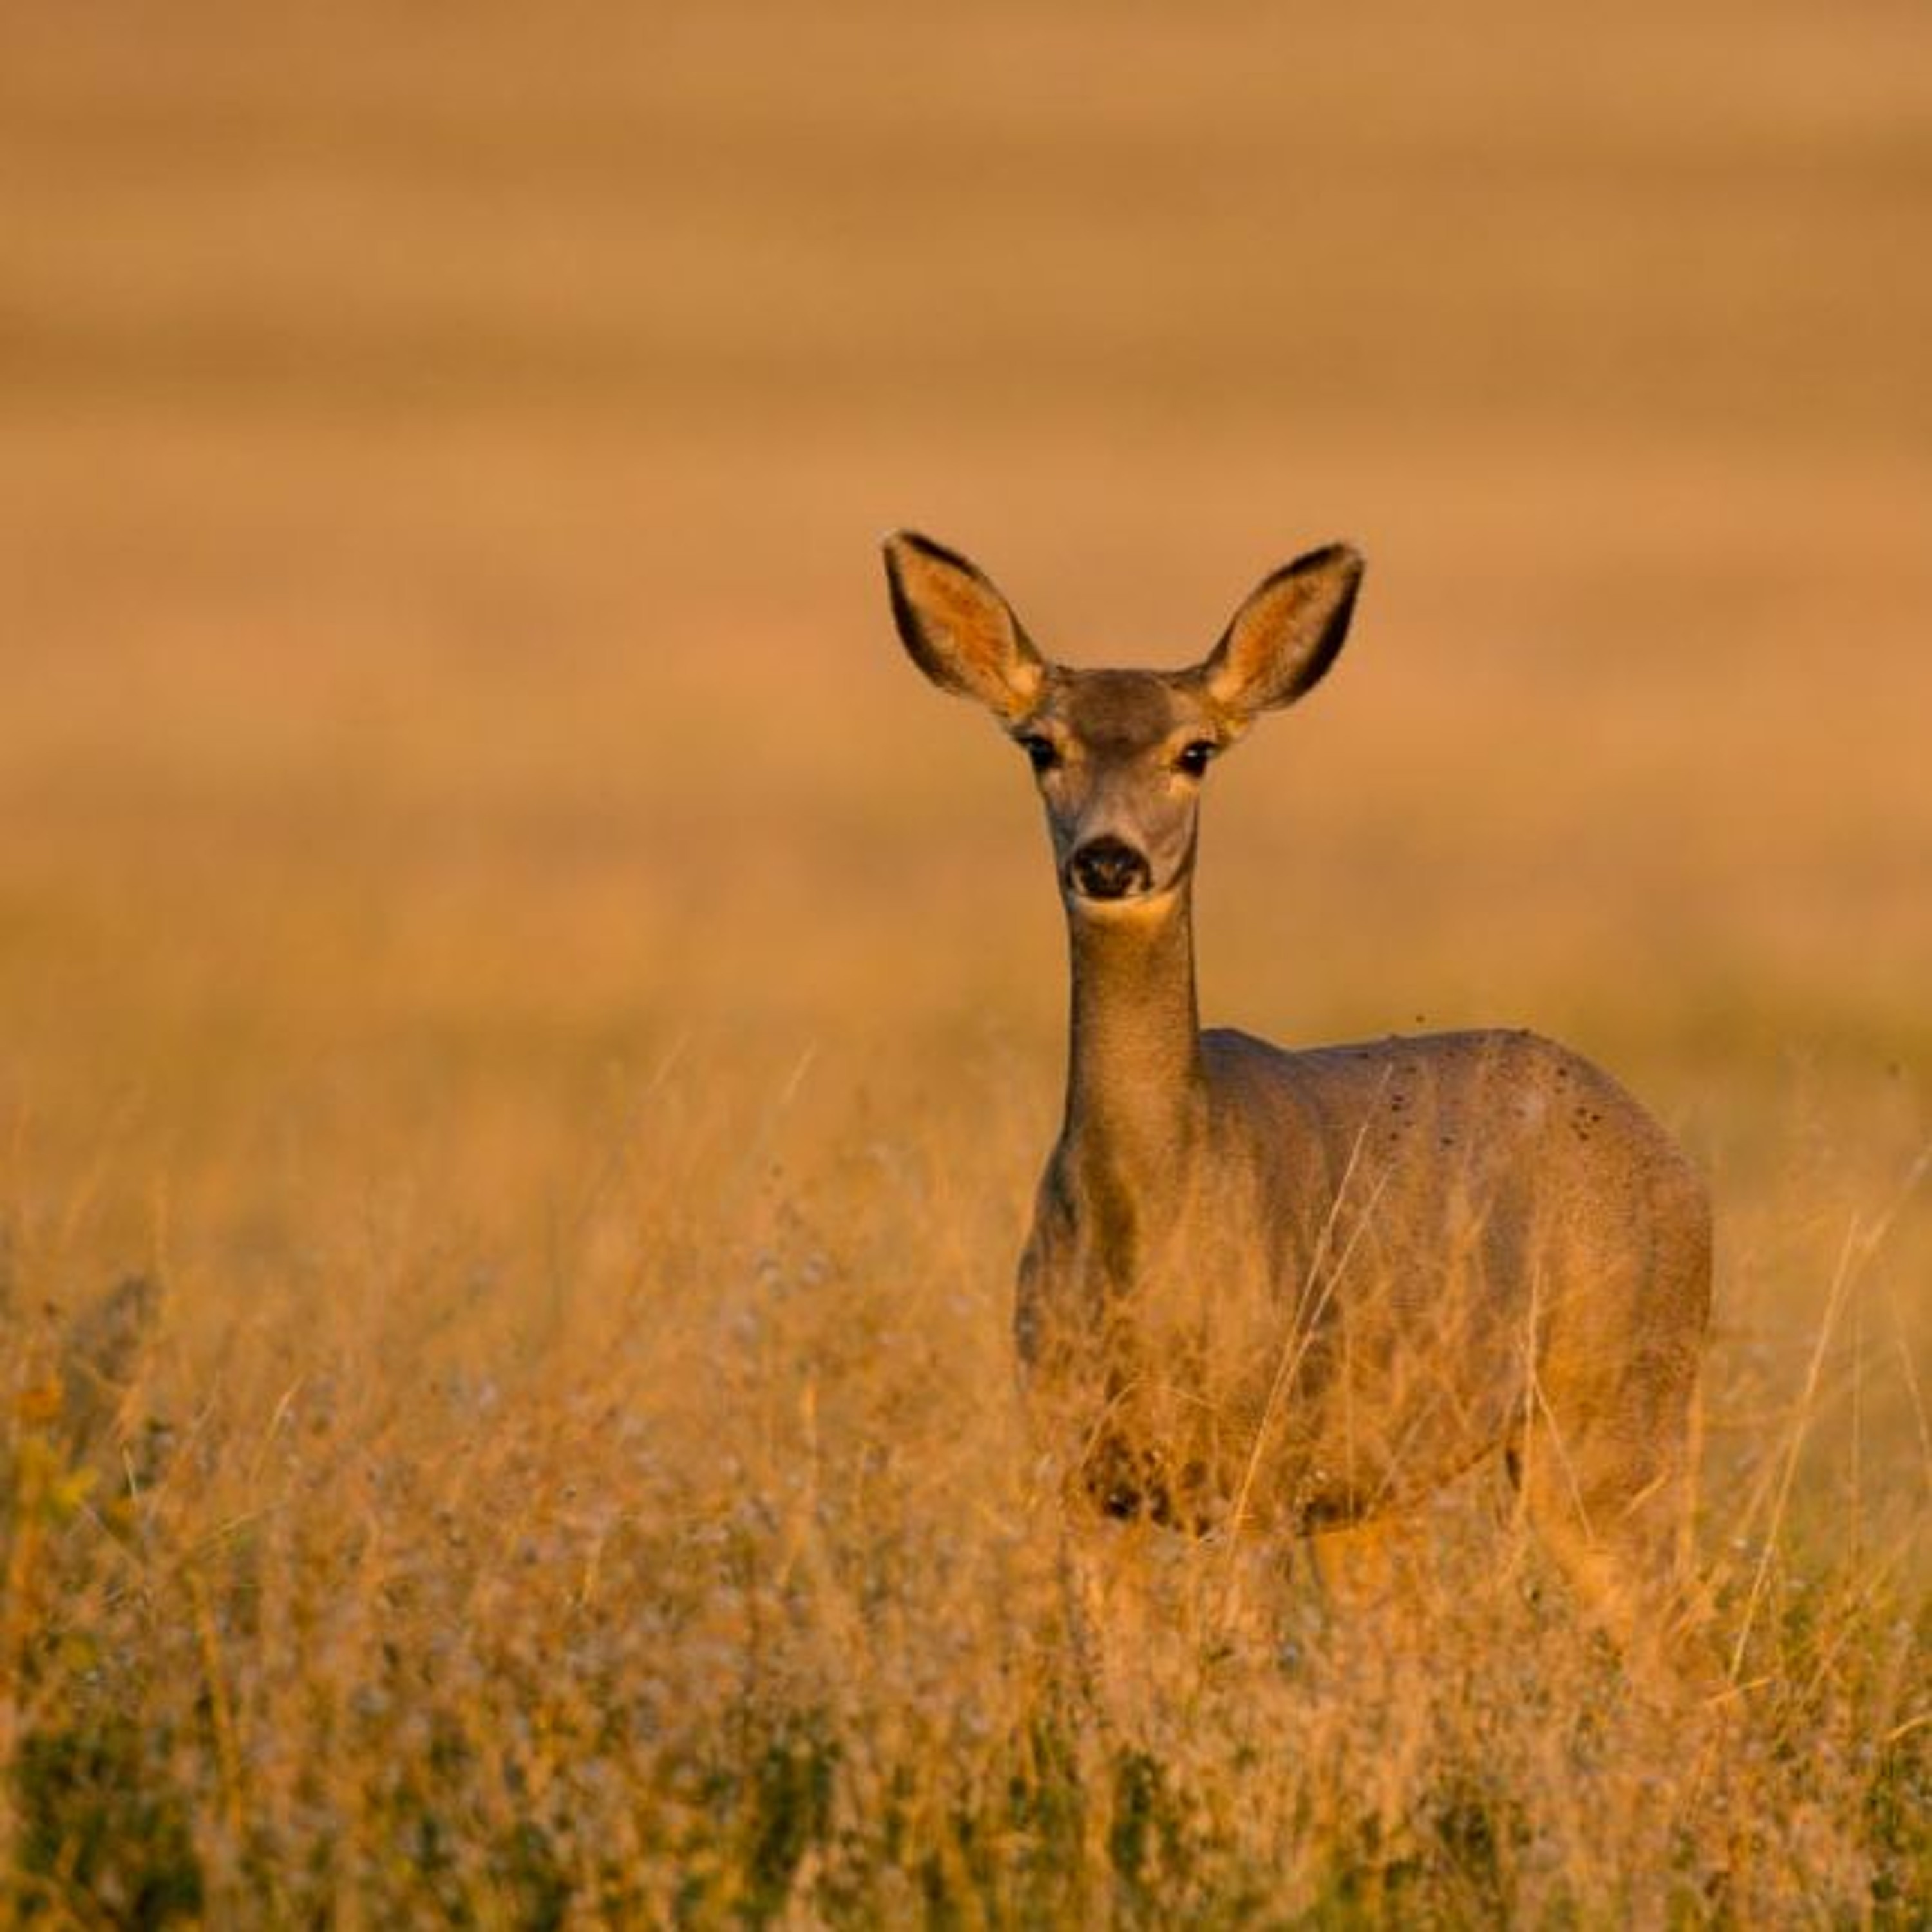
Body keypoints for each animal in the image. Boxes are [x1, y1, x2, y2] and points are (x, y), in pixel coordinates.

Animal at [883, 530, 1712, 1660]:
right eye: (1040, 745)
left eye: (1195, 751)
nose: (1110, 859)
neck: (1151, 1245)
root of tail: (1674, 1158)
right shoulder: (1080, 1473)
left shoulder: (1259, 1465)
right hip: (1378, 1484)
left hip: (1613, 1406)